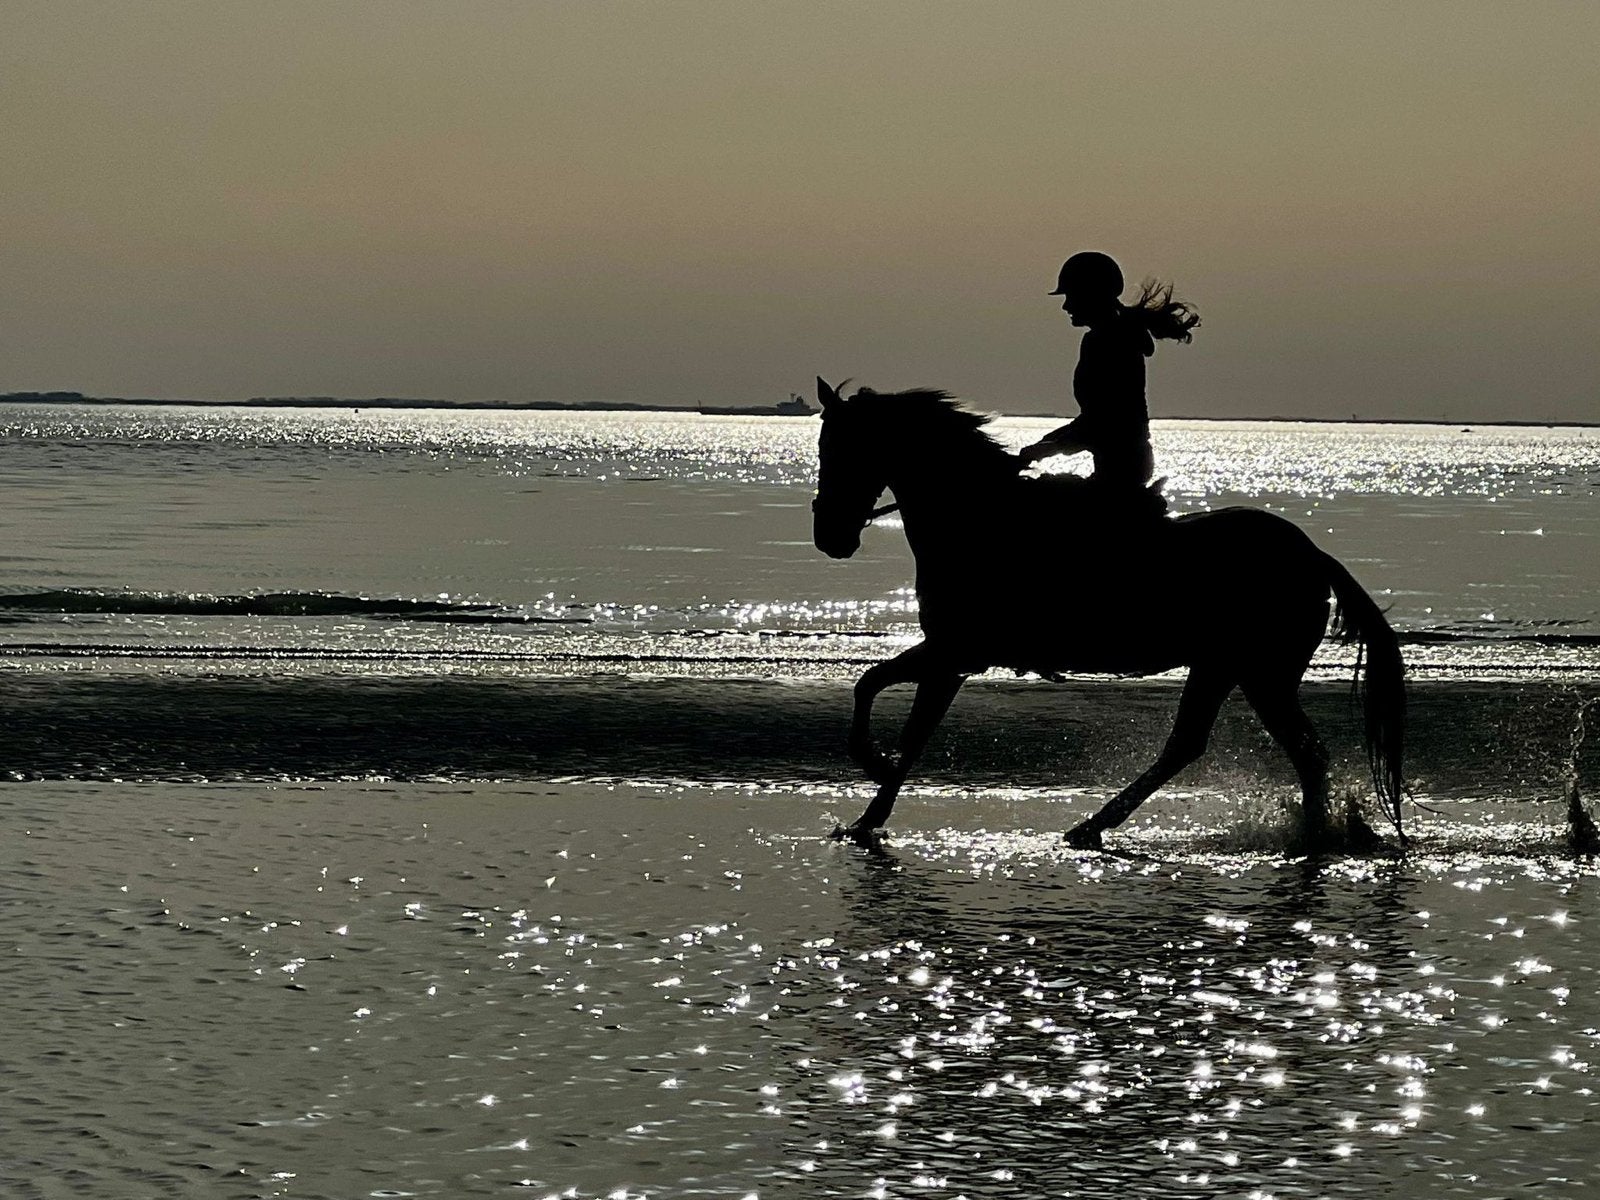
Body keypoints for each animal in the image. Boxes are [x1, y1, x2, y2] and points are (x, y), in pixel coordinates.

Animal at [810, 378, 1406, 852]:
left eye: (840, 448)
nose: (829, 537)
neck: (980, 520)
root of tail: (1313, 555)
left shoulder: (955, 653)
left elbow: (889, 706)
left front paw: (873, 776)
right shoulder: (951, 655)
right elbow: (888, 705)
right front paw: (868, 812)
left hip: (1256, 672)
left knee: (1285, 753)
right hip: (1233, 670)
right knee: (1214, 747)